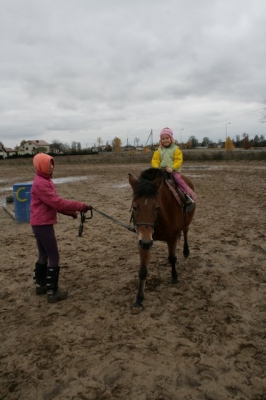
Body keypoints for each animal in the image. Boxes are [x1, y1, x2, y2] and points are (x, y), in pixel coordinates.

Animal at [128, 167, 195, 308]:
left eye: (156, 207)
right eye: (135, 207)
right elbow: (143, 270)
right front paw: (139, 298)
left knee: (186, 231)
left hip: (187, 221)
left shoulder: (172, 238)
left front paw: (174, 277)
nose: (146, 242)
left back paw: (186, 252)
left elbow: (172, 258)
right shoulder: (143, 241)